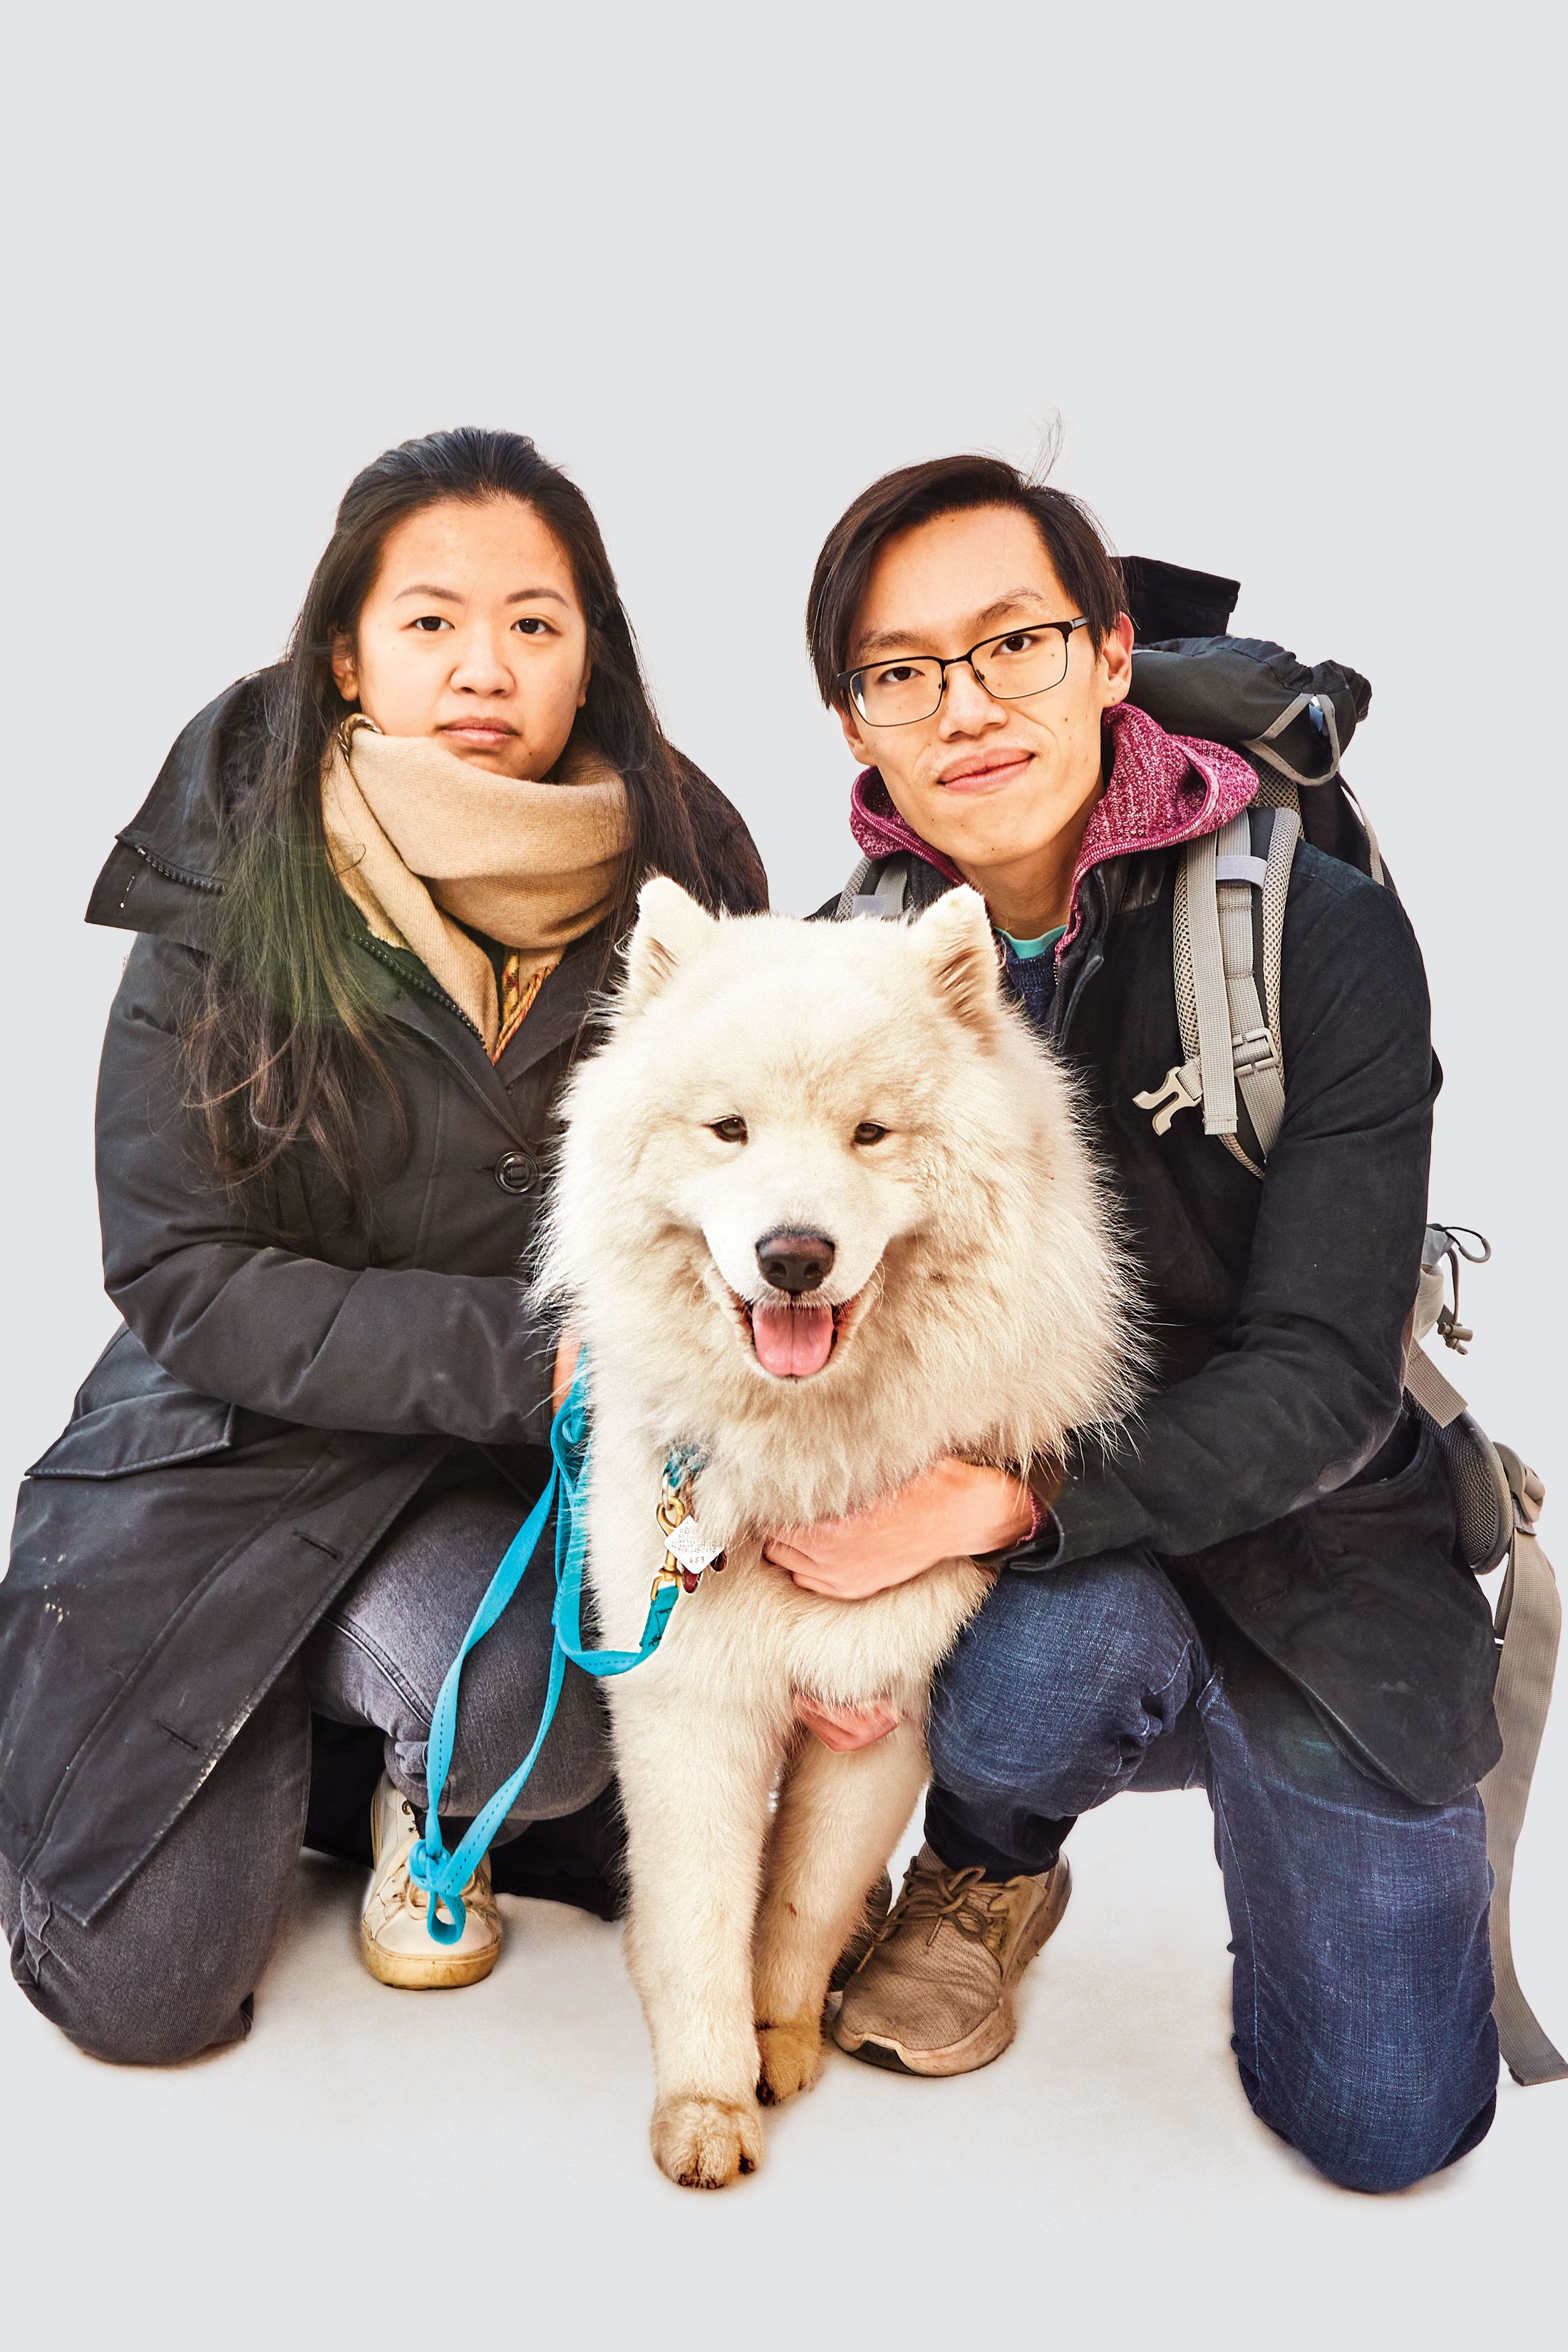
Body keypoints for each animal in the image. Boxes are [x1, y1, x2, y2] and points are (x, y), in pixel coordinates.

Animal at [540, 880, 1128, 2182]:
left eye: (871, 1134)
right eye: (729, 1131)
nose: (795, 1256)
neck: (802, 1469)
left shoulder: (881, 1703)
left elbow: (799, 1908)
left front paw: (781, 2037)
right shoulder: (686, 1702)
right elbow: (703, 1917)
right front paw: (707, 2105)